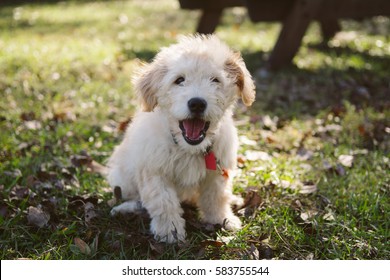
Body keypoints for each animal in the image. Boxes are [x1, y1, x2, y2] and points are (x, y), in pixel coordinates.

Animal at [107, 34, 256, 242]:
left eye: (215, 80)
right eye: (179, 80)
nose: (197, 104)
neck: (188, 147)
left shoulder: (217, 173)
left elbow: (216, 197)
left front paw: (222, 219)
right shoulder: (154, 171)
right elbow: (163, 201)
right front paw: (170, 231)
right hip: (122, 177)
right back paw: (127, 208)